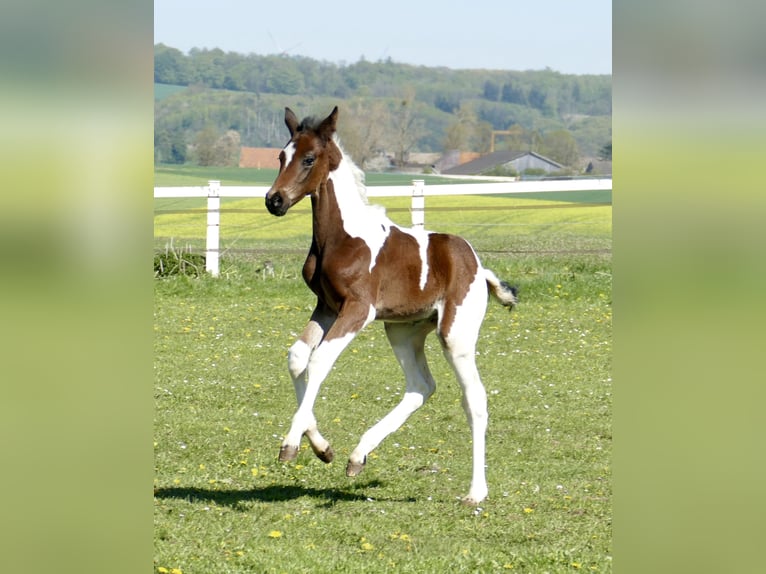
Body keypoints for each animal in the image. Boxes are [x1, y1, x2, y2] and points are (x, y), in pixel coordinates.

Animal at [265, 106, 517, 505]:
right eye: (280, 156)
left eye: (309, 159)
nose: (274, 201)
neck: (341, 236)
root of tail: (479, 267)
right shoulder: (327, 306)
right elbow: (298, 357)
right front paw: (322, 447)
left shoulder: (358, 309)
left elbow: (319, 361)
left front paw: (291, 445)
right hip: (402, 330)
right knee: (420, 387)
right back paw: (357, 456)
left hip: (456, 334)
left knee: (474, 399)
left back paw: (476, 491)